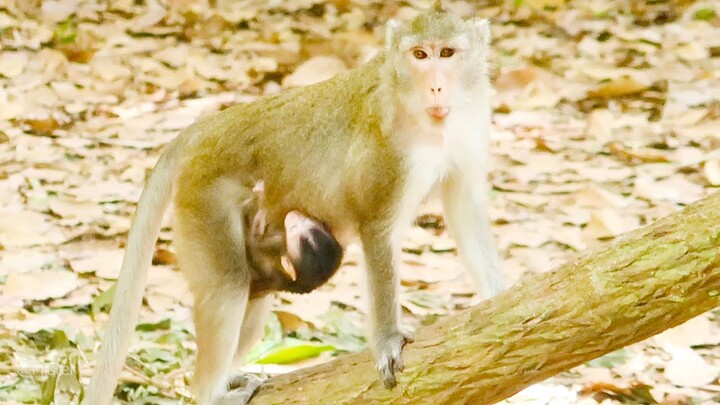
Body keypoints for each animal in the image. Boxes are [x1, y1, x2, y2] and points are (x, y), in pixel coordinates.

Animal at [84, 1, 504, 402]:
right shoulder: (388, 153)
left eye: (447, 53)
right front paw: (387, 339)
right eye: (420, 55)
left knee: (250, 304)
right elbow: (379, 230)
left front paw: (501, 300)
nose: (436, 88)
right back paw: (209, 393)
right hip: (206, 199)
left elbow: (464, 212)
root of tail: (214, 126)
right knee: (228, 289)